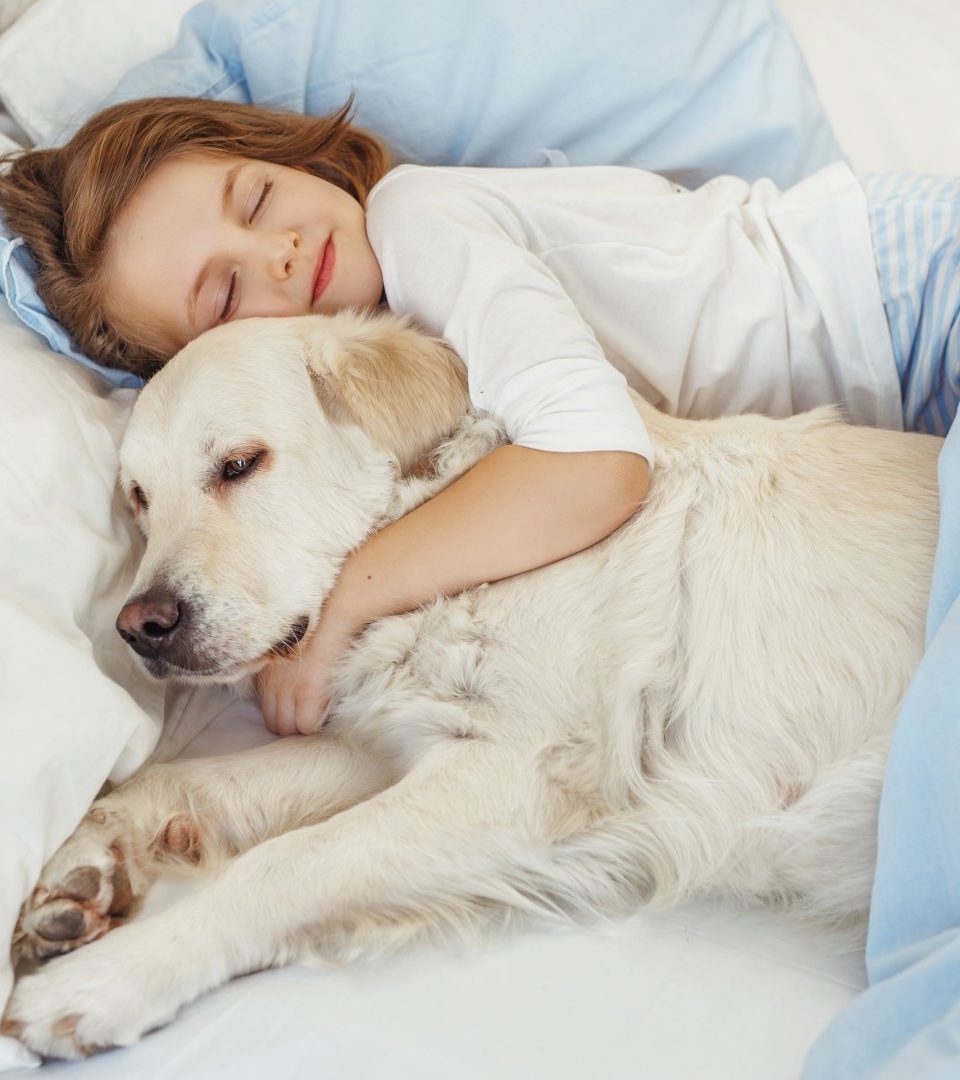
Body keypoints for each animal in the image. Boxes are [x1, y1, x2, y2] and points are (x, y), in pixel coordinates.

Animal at [0, 311, 941, 1054]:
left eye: (238, 464)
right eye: (138, 499)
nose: (139, 627)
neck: (437, 545)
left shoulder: (521, 774)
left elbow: (284, 863)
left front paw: (104, 983)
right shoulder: (396, 744)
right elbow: (191, 780)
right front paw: (85, 862)